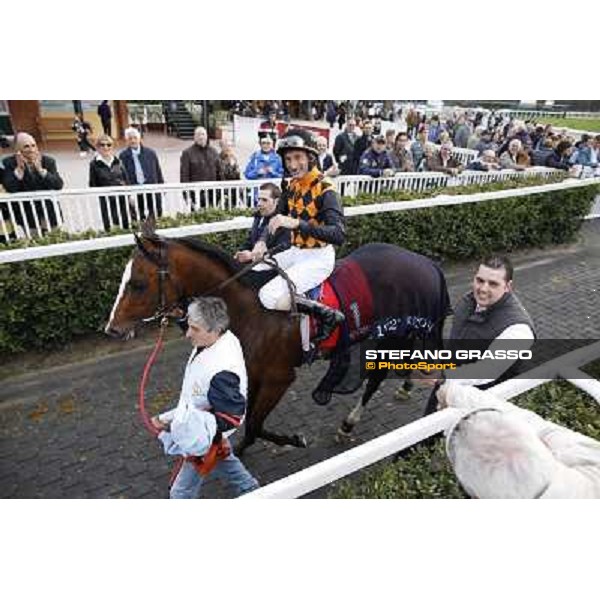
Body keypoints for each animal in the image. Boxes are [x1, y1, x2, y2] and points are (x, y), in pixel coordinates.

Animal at [105, 223, 450, 452]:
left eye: (137, 283)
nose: (112, 328)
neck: (249, 309)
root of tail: (427, 263)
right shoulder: (252, 373)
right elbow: (247, 420)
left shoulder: (278, 378)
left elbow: (255, 424)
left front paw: (292, 439)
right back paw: (403, 387)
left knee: (377, 378)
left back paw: (350, 423)